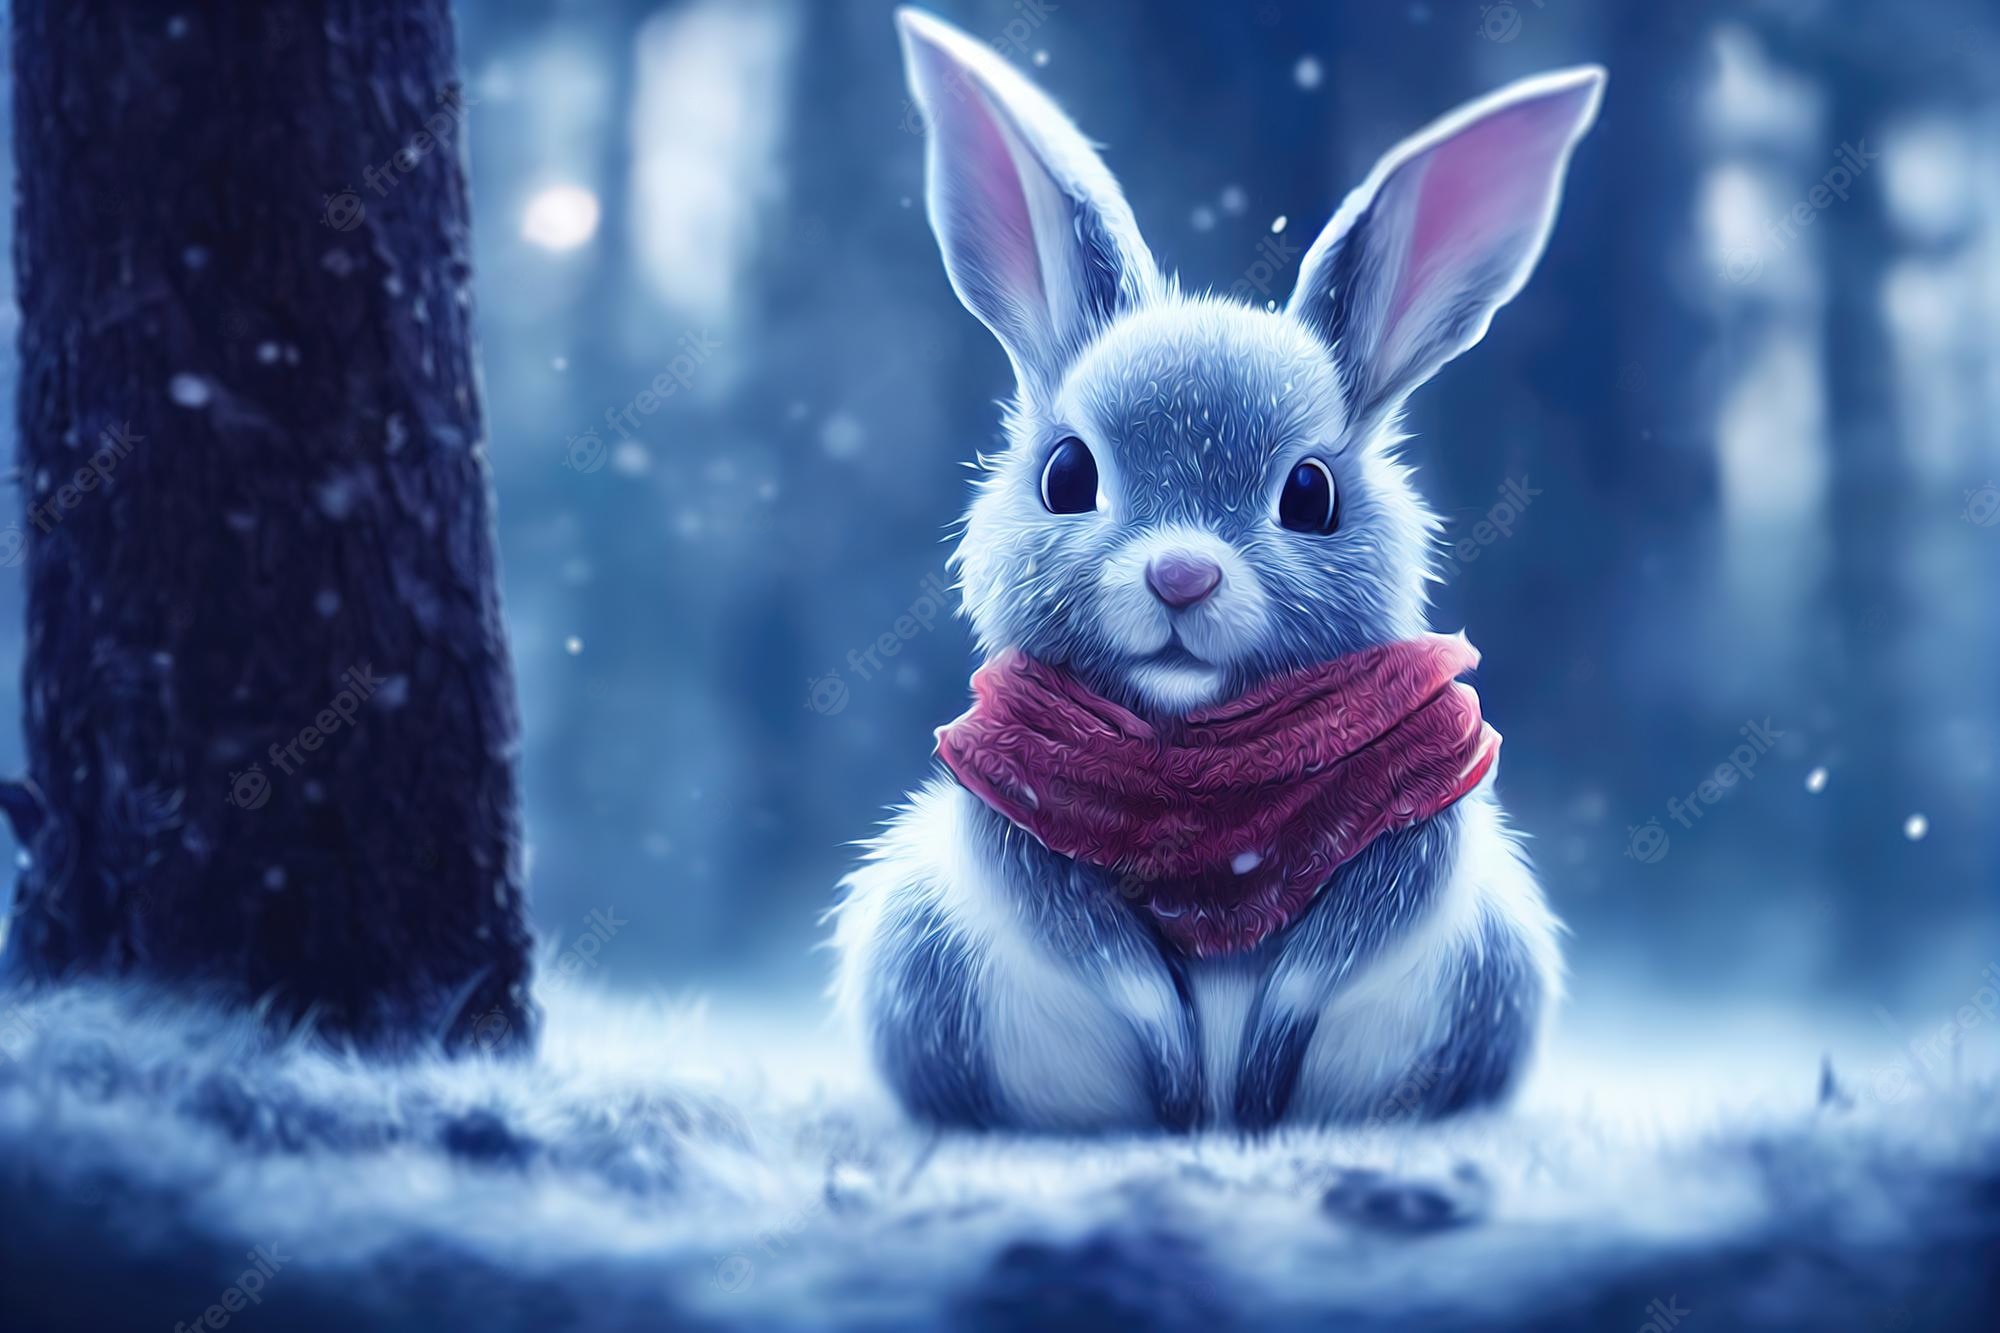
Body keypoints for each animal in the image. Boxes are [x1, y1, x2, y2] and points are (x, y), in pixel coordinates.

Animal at [831, 7, 1603, 1133]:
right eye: (1066, 476)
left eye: (1311, 494)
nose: (1181, 577)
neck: (1203, 770)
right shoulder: (1011, 822)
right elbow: (1106, 962)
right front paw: (1182, 1080)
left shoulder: (1417, 823)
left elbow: (1339, 952)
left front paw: (1256, 1077)